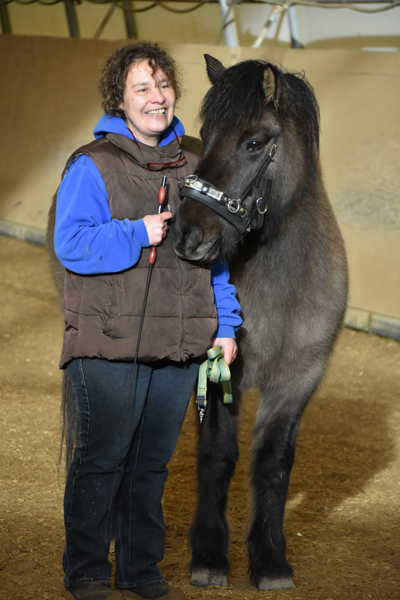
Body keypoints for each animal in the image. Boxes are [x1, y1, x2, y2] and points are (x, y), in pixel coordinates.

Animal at [170, 56, 348, 592]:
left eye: (254, 142)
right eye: (207, 134)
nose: (187, 235)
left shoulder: (297, 381)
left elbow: (272, 464)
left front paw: (269, 560)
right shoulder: (222, 372)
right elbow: (217, 456)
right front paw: (209, 556)